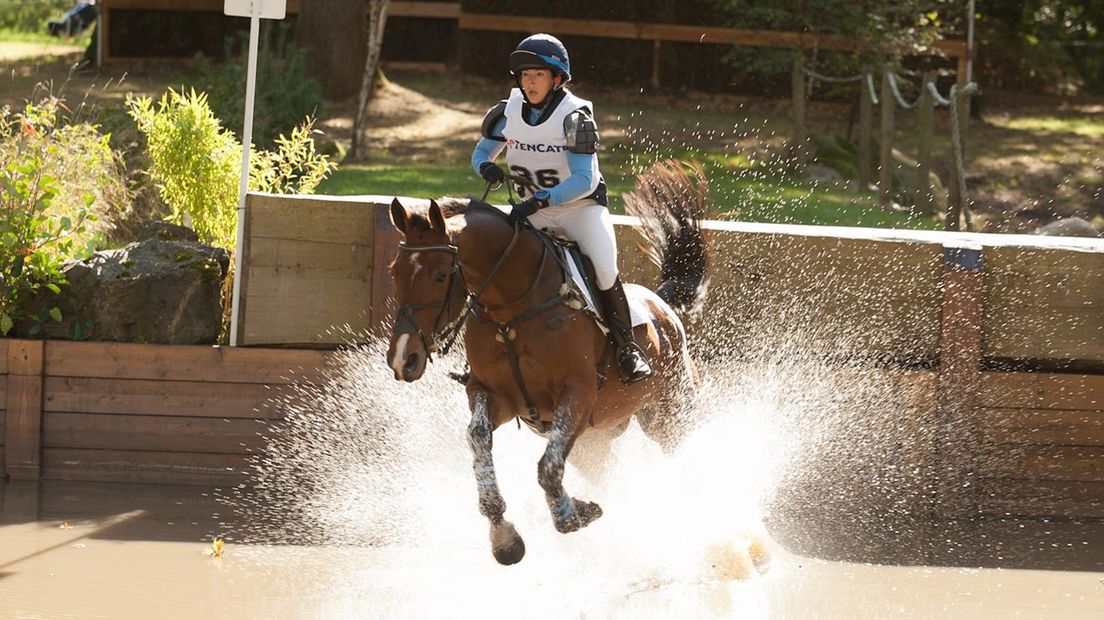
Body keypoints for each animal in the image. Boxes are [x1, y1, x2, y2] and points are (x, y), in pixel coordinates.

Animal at [384, 159, 710, 564]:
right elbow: (479, 438)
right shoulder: (494, 395)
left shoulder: (577, 396)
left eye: (441, 275)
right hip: (597, 442)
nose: (403, 358)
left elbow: (548, 468)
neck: (511, 311)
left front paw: (572, 515)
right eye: (394, 271)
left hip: (671, 414)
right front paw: (504, 537)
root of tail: (661, 303)